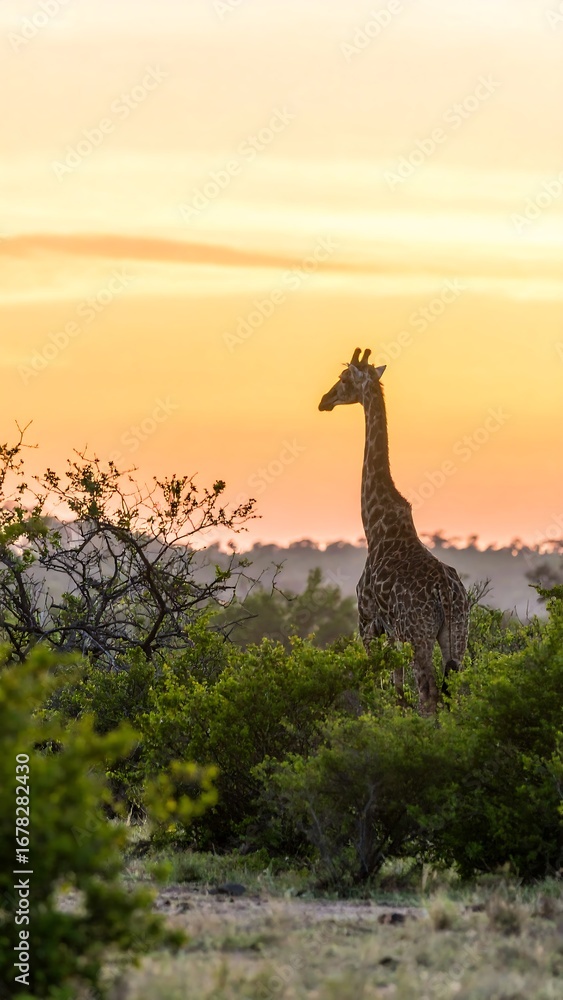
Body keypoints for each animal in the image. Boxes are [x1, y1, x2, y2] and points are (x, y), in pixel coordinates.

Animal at [319, 347, 469, 715]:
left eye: (344, 379)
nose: (324, 400)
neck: (377, 525)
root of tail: (447, 594)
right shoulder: (394, 633)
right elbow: (398, 693)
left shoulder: (368, 622)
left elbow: (377, 686)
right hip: (456, 633)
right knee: (452, 692)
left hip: (421, 635)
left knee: (429, 693)